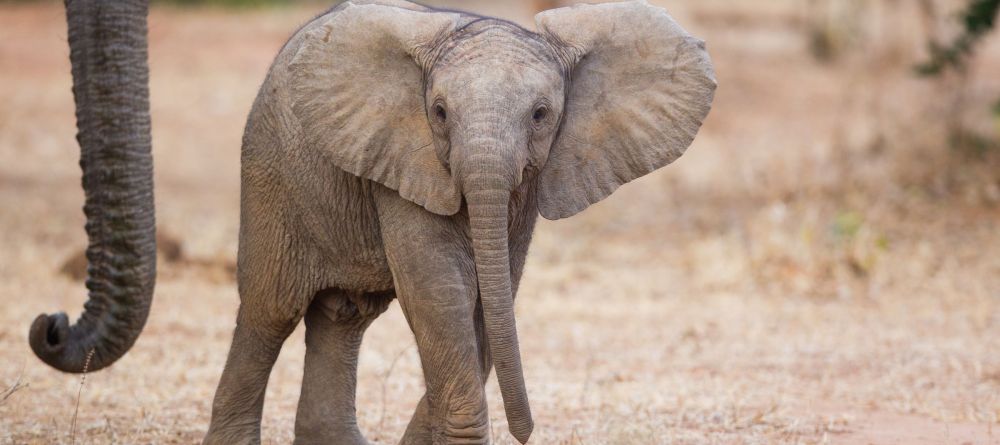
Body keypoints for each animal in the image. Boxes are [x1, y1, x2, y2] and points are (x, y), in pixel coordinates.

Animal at [207, 0, 716, 444]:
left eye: (541, 114)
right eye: (439, 112)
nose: (525, 433)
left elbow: (490, 295)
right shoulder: (406, 159)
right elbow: (440, 292)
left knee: (343, 316)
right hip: (270, 172)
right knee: (269, 310)